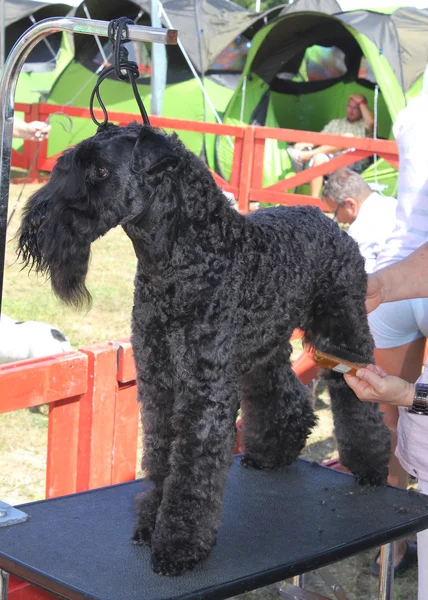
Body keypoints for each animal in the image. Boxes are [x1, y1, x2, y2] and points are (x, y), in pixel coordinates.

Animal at [16, 123, 392, 576]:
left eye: (101, 171)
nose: (36, 222)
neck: (184, 260)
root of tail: (328, 222)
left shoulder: (204, 390)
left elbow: (191, 468)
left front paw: (179, 545)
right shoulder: (159, 382)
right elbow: (162, 456)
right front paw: (150, 524)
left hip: (343, 338)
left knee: (356, 402)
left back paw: (372, 465)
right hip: (263, 351)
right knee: (282, 394)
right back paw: (272, 451)